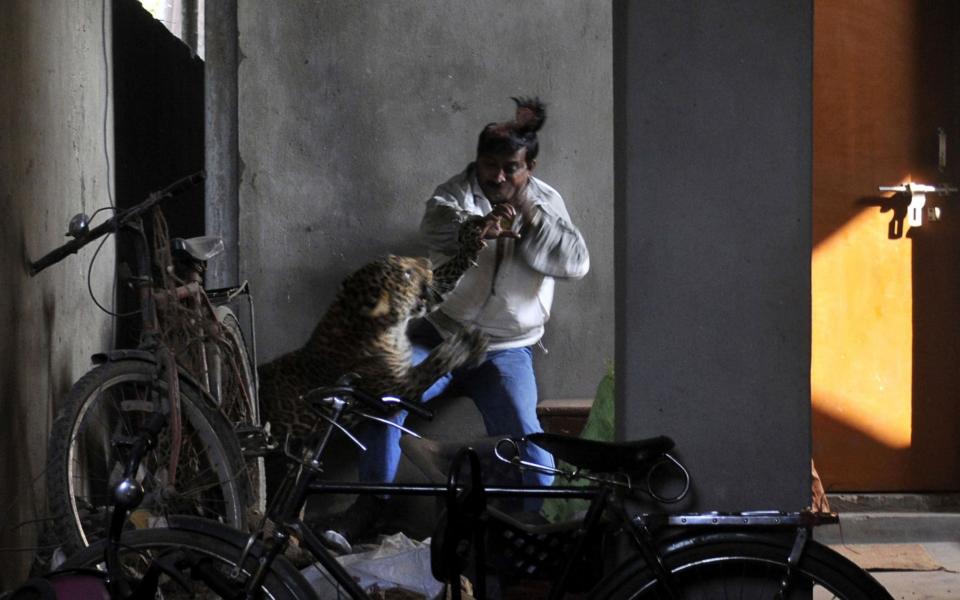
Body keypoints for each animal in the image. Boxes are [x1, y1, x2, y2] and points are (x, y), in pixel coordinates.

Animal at [256, 218, 488, 442]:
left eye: (398, 258)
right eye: (407, 274)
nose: (428, 261)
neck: (391, 330)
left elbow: (445, 277)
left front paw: (469, 241)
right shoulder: (391, 396)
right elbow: (433, 364)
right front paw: (465, 343)